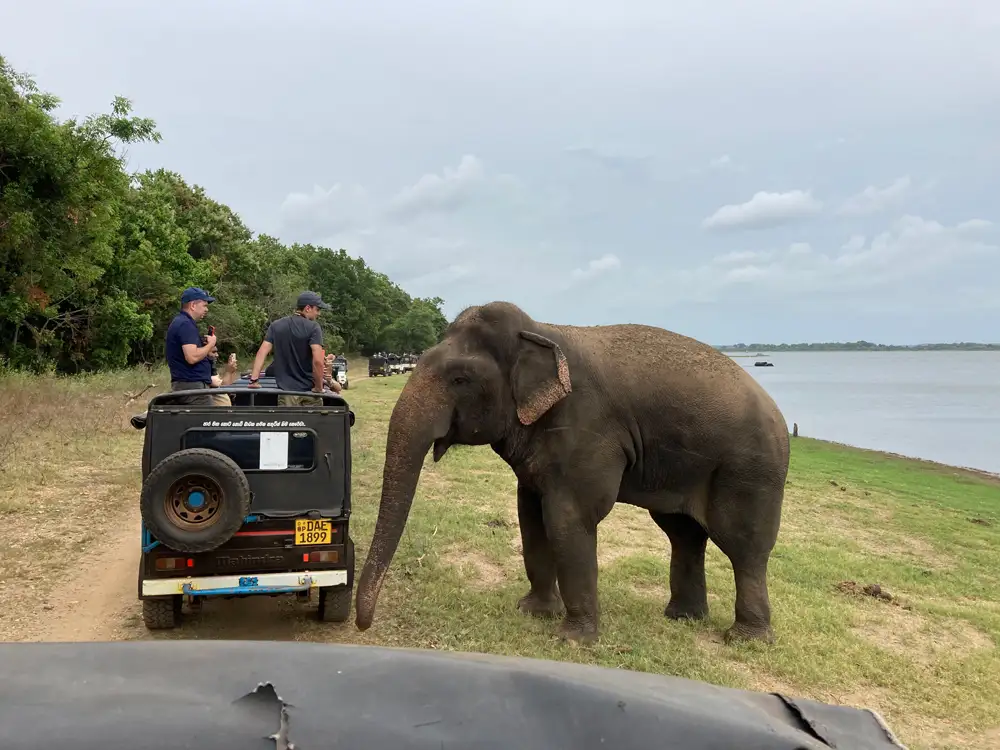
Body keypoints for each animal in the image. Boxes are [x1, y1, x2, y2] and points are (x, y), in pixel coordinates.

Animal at [354, 301, 790, 645]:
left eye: (460, 379)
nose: (362, 625)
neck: (541, 331)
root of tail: (778, 410)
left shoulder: (588, 430)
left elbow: (568, 518)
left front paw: (573, 639)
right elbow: (530, 515)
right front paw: (532, 611)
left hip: (751, 468)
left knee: (744, 545)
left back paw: (745, 639)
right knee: (683, 533)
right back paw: (682, 618)